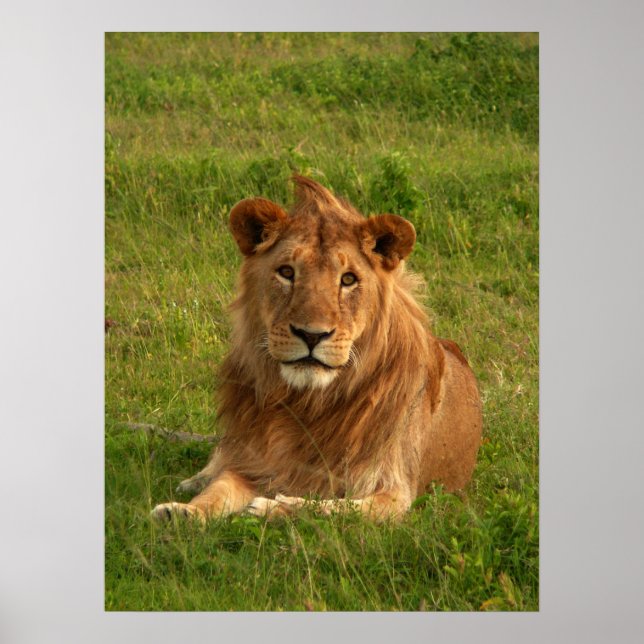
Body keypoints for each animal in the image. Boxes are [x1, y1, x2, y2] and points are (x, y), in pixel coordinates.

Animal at [152, 175, 482, 522]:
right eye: (287, 272)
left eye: (348, 279)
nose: (311, 335)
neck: (308, 405)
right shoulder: (255, 462)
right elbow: (219, 489)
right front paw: (183, 512)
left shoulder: (393, 495)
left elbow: (329, 508)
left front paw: (271, 505)